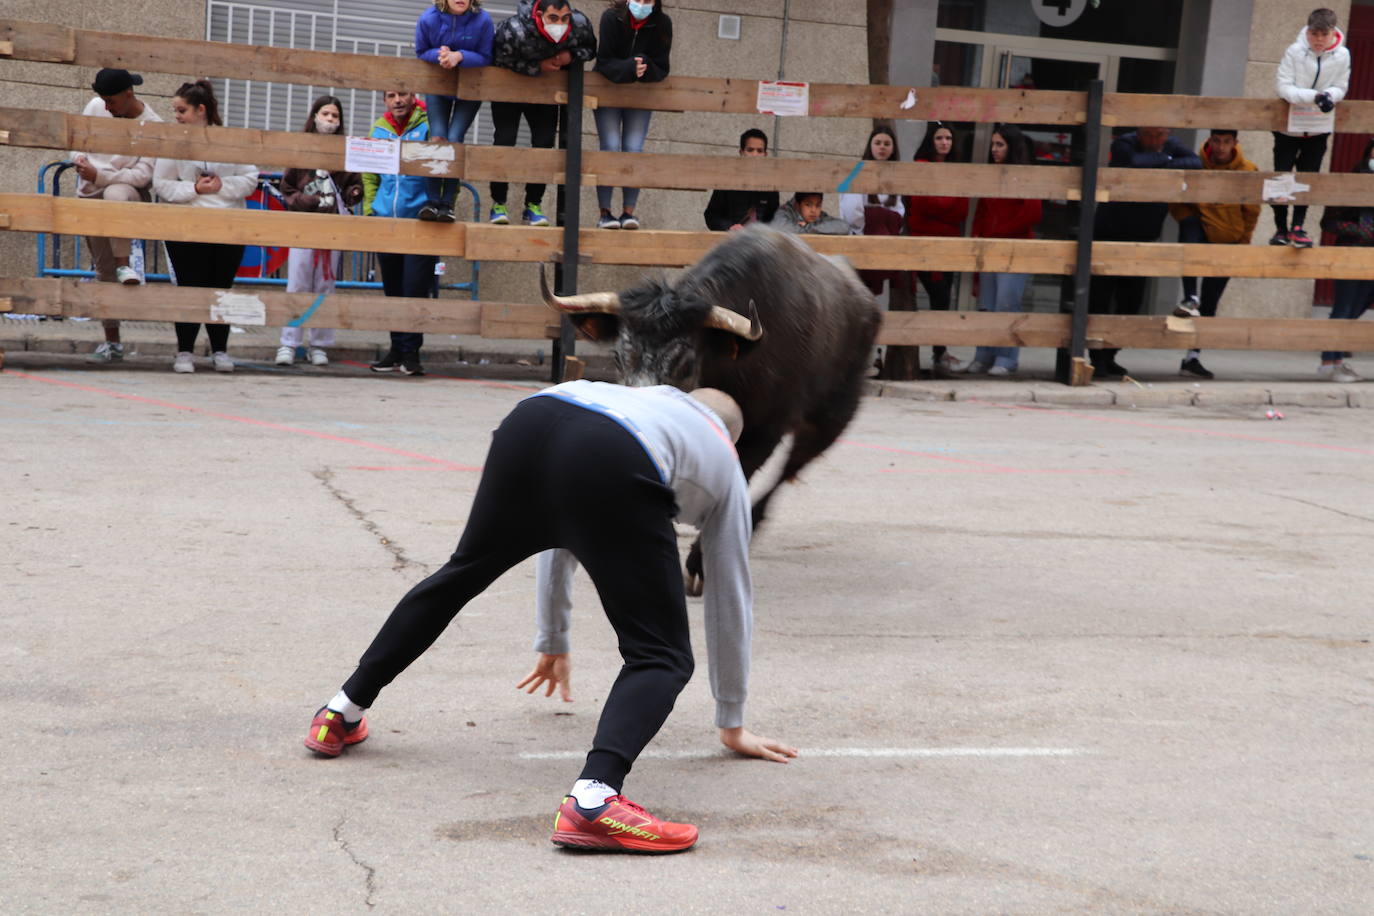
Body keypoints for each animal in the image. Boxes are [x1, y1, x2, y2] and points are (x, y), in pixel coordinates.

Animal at [538, 222, 879, 596]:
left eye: (686, 364)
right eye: (617, 357)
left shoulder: (764, 433)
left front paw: (699, 564)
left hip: (829, 421)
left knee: (788, 470)